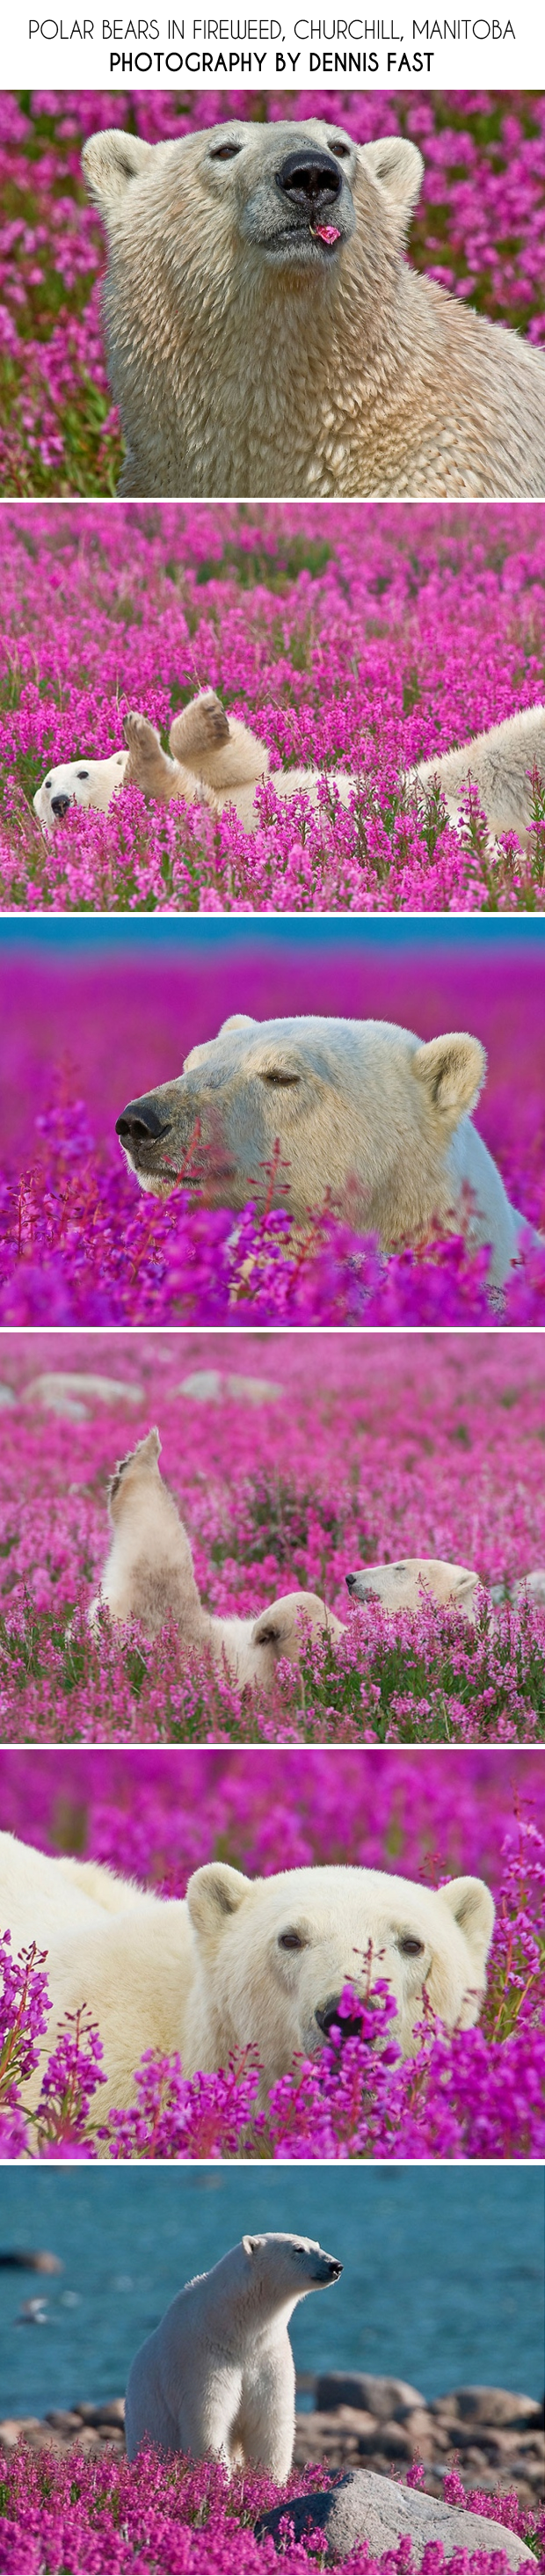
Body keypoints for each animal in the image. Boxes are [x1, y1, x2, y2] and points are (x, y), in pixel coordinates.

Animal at [125, 2236, 341, 2472]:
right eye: (298, 2249)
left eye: (317, 2245)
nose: (335, 2265)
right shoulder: (200, 2358)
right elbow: (208, 2422)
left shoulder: (268, 2356)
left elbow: (270, 2424)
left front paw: (268, 2479)